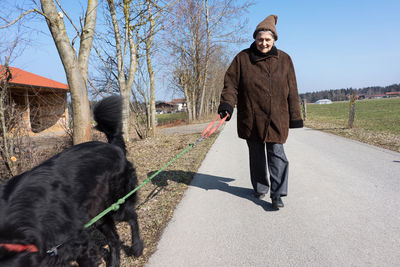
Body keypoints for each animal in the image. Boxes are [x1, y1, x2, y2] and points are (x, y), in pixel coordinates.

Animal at [0, 97, 144, 267]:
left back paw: (137, 248)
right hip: (98, 214)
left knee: (132, 216)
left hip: (116, 203)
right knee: (114, 239)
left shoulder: (73, 242)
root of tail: (113, 146)